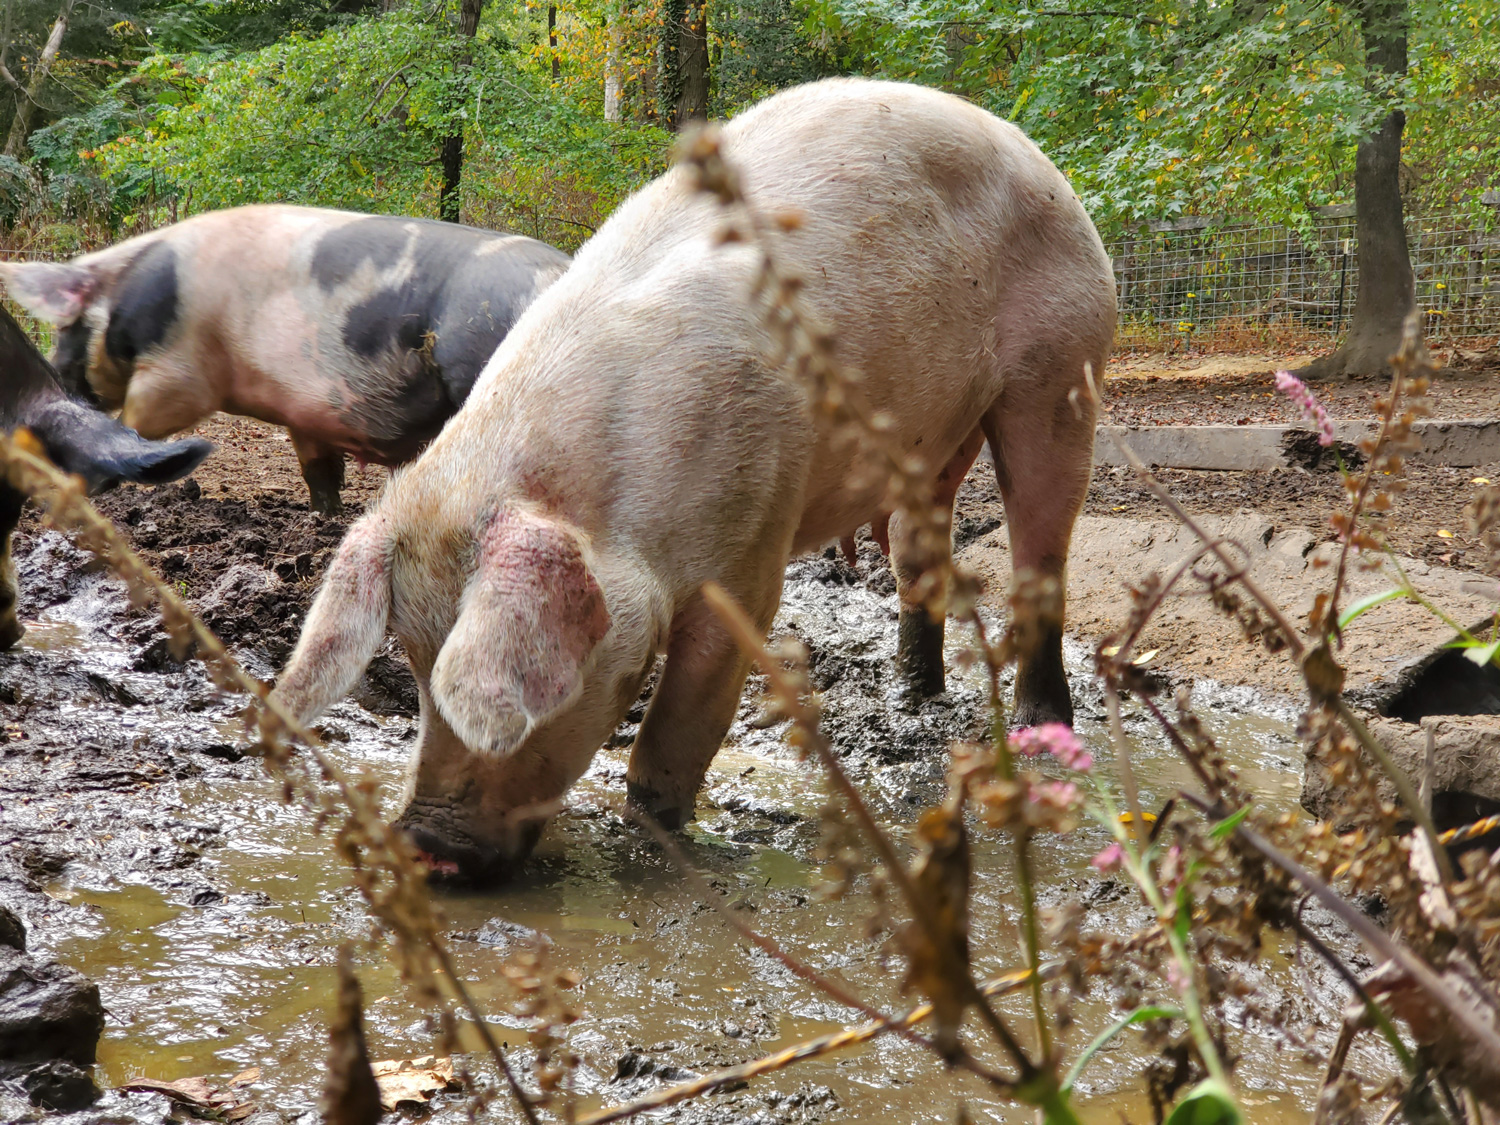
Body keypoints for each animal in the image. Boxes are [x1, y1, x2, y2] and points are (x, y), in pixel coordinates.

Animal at [273, 79, 1116, 888]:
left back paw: (1040, 729)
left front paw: (660, 837)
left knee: (1042, 548)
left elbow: (684, 714)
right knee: (918, 554)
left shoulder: (753, 540)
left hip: (1062, 366)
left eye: (534, 687)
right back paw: (914, 695)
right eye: (412, 667)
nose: (426, 846)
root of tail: (1035, 156)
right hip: (933, 442)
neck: (617, 501)